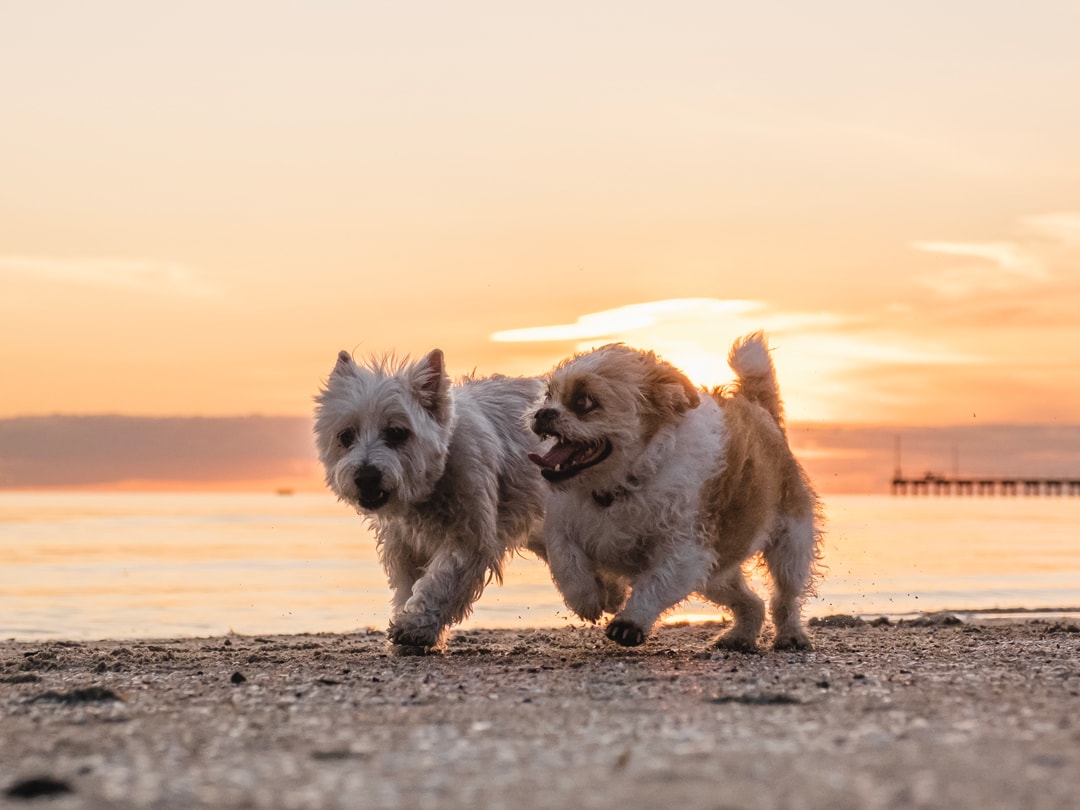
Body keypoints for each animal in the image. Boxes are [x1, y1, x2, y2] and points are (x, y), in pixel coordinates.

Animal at [315, 349, 548, 652]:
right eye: (346, 436)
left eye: (397, 432)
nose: (366, 477)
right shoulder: (403, 545)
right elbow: (408, 585)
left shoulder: (469, 538)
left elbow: (441, 581)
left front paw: (415, 627)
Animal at [527, 334, 820, 652]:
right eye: (548, 396)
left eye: (583, 402)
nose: (543, 412)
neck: (621, 485)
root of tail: (758, 408)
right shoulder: (564, 525)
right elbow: (566, 560)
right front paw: (593, 596)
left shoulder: (685, 552)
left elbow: (656, 582)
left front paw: (629, 621)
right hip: (715, 574)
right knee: (751, 603)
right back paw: (739, 636)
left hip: (789, 545)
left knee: (786, 596)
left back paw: (791, 635)